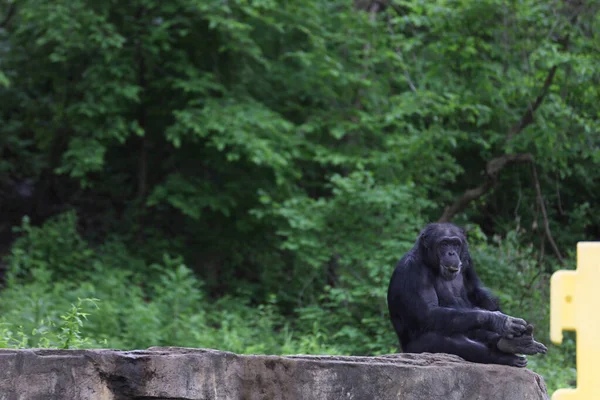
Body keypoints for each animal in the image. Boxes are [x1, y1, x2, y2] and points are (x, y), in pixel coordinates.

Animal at [386, 223, 548, 368]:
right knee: (445, 340)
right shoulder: (413, 270)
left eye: (455, 244)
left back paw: (517, 343)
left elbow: (476, 293)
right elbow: (427, 312)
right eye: (444, 244)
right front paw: (499, 320)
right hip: (416, 349)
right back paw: (504, 356)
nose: (451, 253)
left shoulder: (467, 260)